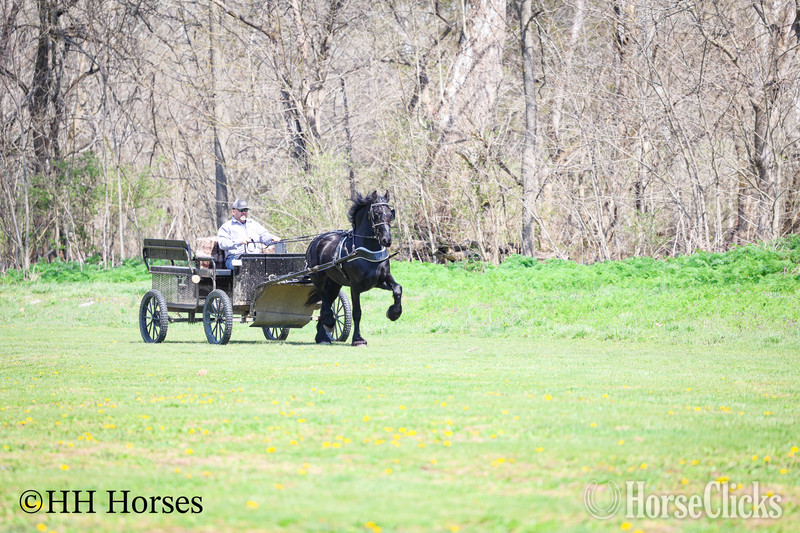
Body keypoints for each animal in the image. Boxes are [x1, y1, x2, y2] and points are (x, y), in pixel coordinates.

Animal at [305, 190, 403, 346]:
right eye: (376, 213)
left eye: (390, 213)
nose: (387, 240)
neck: (366, 250)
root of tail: (316, 240)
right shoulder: (355, 286)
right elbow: (357, 312)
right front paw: (358, 339)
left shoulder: (380, 281)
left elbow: (398, 289)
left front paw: (394, 313)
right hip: (318, 277)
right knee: (322, 297)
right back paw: (329, 321)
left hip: (334, 284)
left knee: (326, 302)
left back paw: (322, 337)